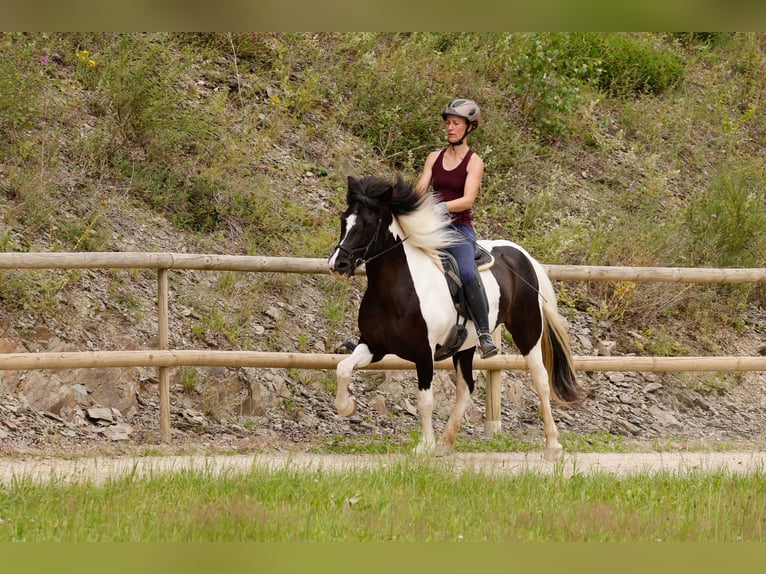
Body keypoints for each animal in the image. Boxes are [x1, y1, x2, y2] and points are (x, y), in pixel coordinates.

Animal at [328, 174, 584, 461]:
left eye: (368, 223)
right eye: (344, 219)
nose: (337, 264)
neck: (396, 290)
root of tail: (522, 255)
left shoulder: (423, 353)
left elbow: (425, 400)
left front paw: (424, 446)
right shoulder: (374, 346)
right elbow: (342, 368)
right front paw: (347, 407)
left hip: (527, 331)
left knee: (541, 381)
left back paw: (552, 445)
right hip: (465, 346)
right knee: (466, 388)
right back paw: (445, 443)